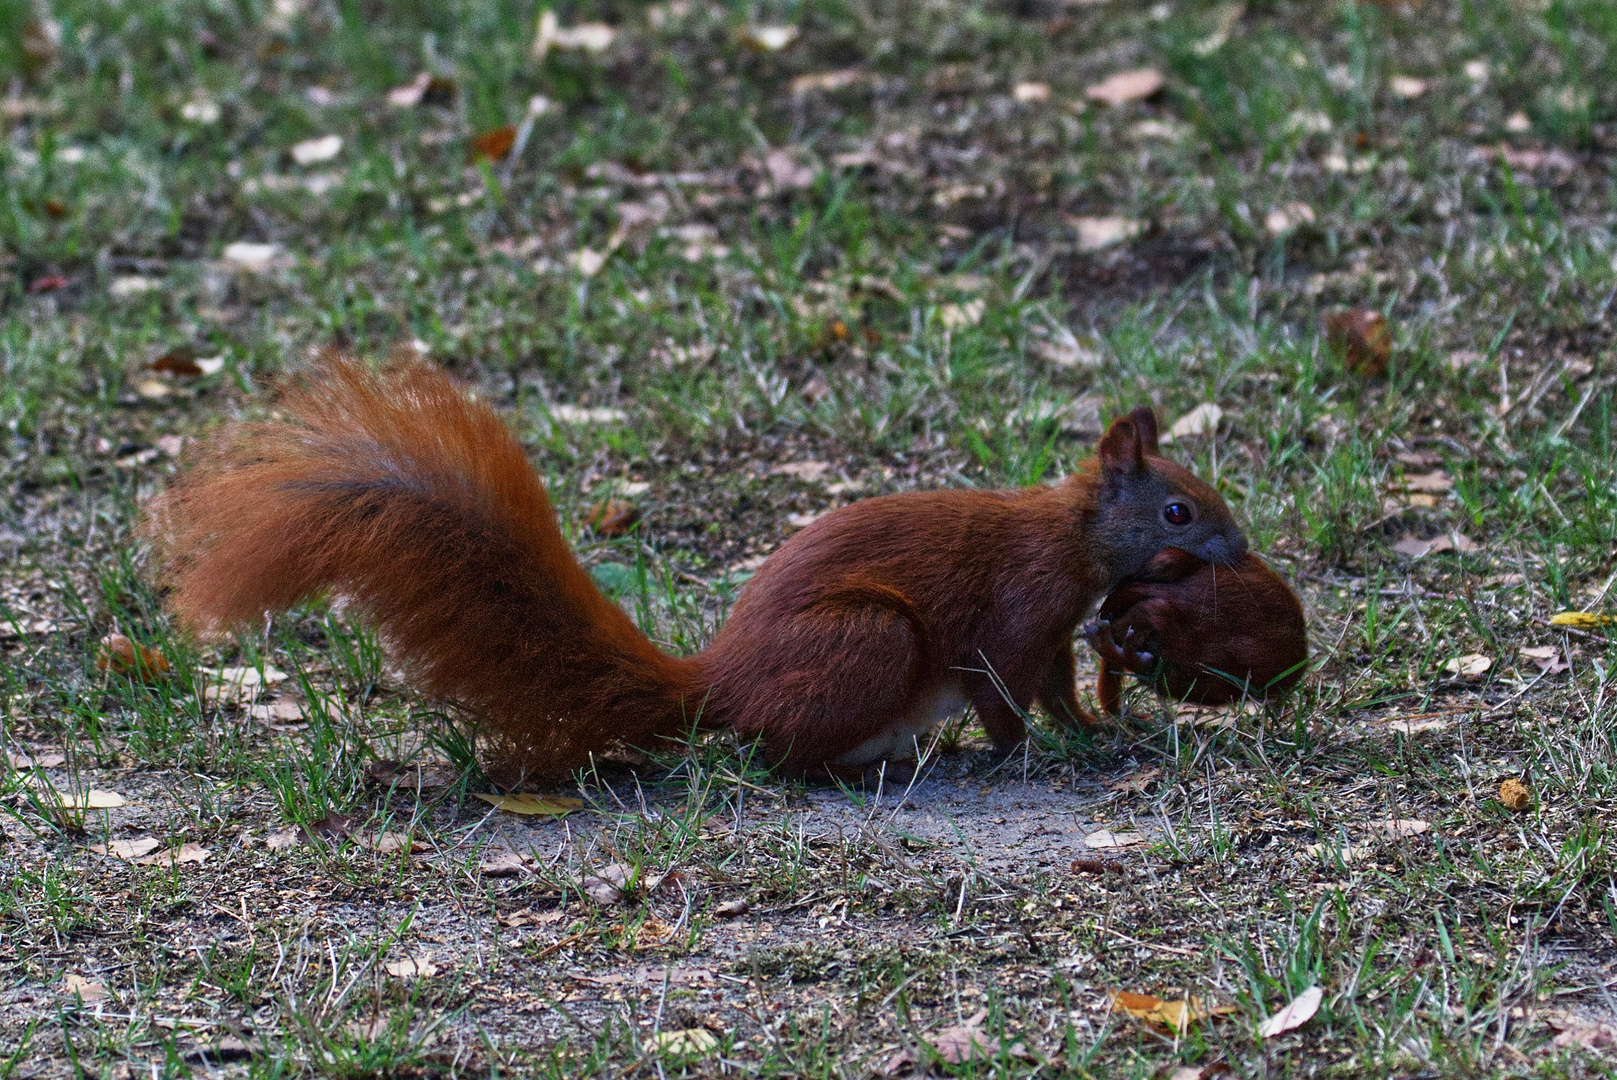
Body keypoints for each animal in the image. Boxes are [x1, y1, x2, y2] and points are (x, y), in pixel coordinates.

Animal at [142, 354, 1248, 776]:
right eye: (1178, 509)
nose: (1241, 550)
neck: (1068, 532)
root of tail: (719, 684)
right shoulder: (1018, 609)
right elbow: (1009, 689)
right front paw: (1047, 746)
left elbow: (1046, 683)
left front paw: (1098, 724)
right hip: (870, 639)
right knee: (780, 752)